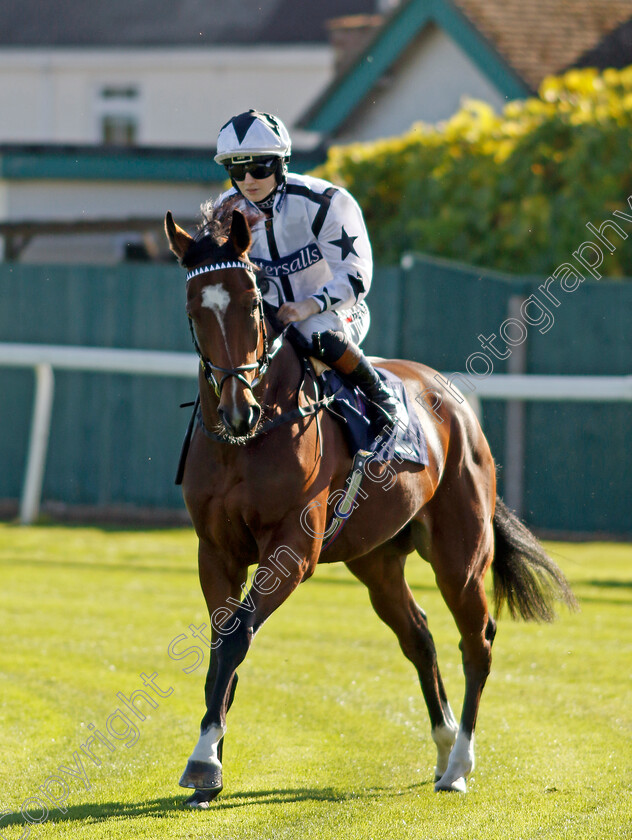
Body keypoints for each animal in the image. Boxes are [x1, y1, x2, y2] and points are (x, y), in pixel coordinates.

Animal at [164, 203, 576, 808]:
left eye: (251, 303)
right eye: (195, 311)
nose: (239, 410)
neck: (254, 436)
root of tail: (454, 402)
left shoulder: (292, 550)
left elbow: (239, 635)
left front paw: (203, 762)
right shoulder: (216, 550)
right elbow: (223, 643)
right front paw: (208, 759)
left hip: (460, 556)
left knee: (476, 640)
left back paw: (459, 764)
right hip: (376, 559)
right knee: (419, 635)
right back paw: (443, 744)